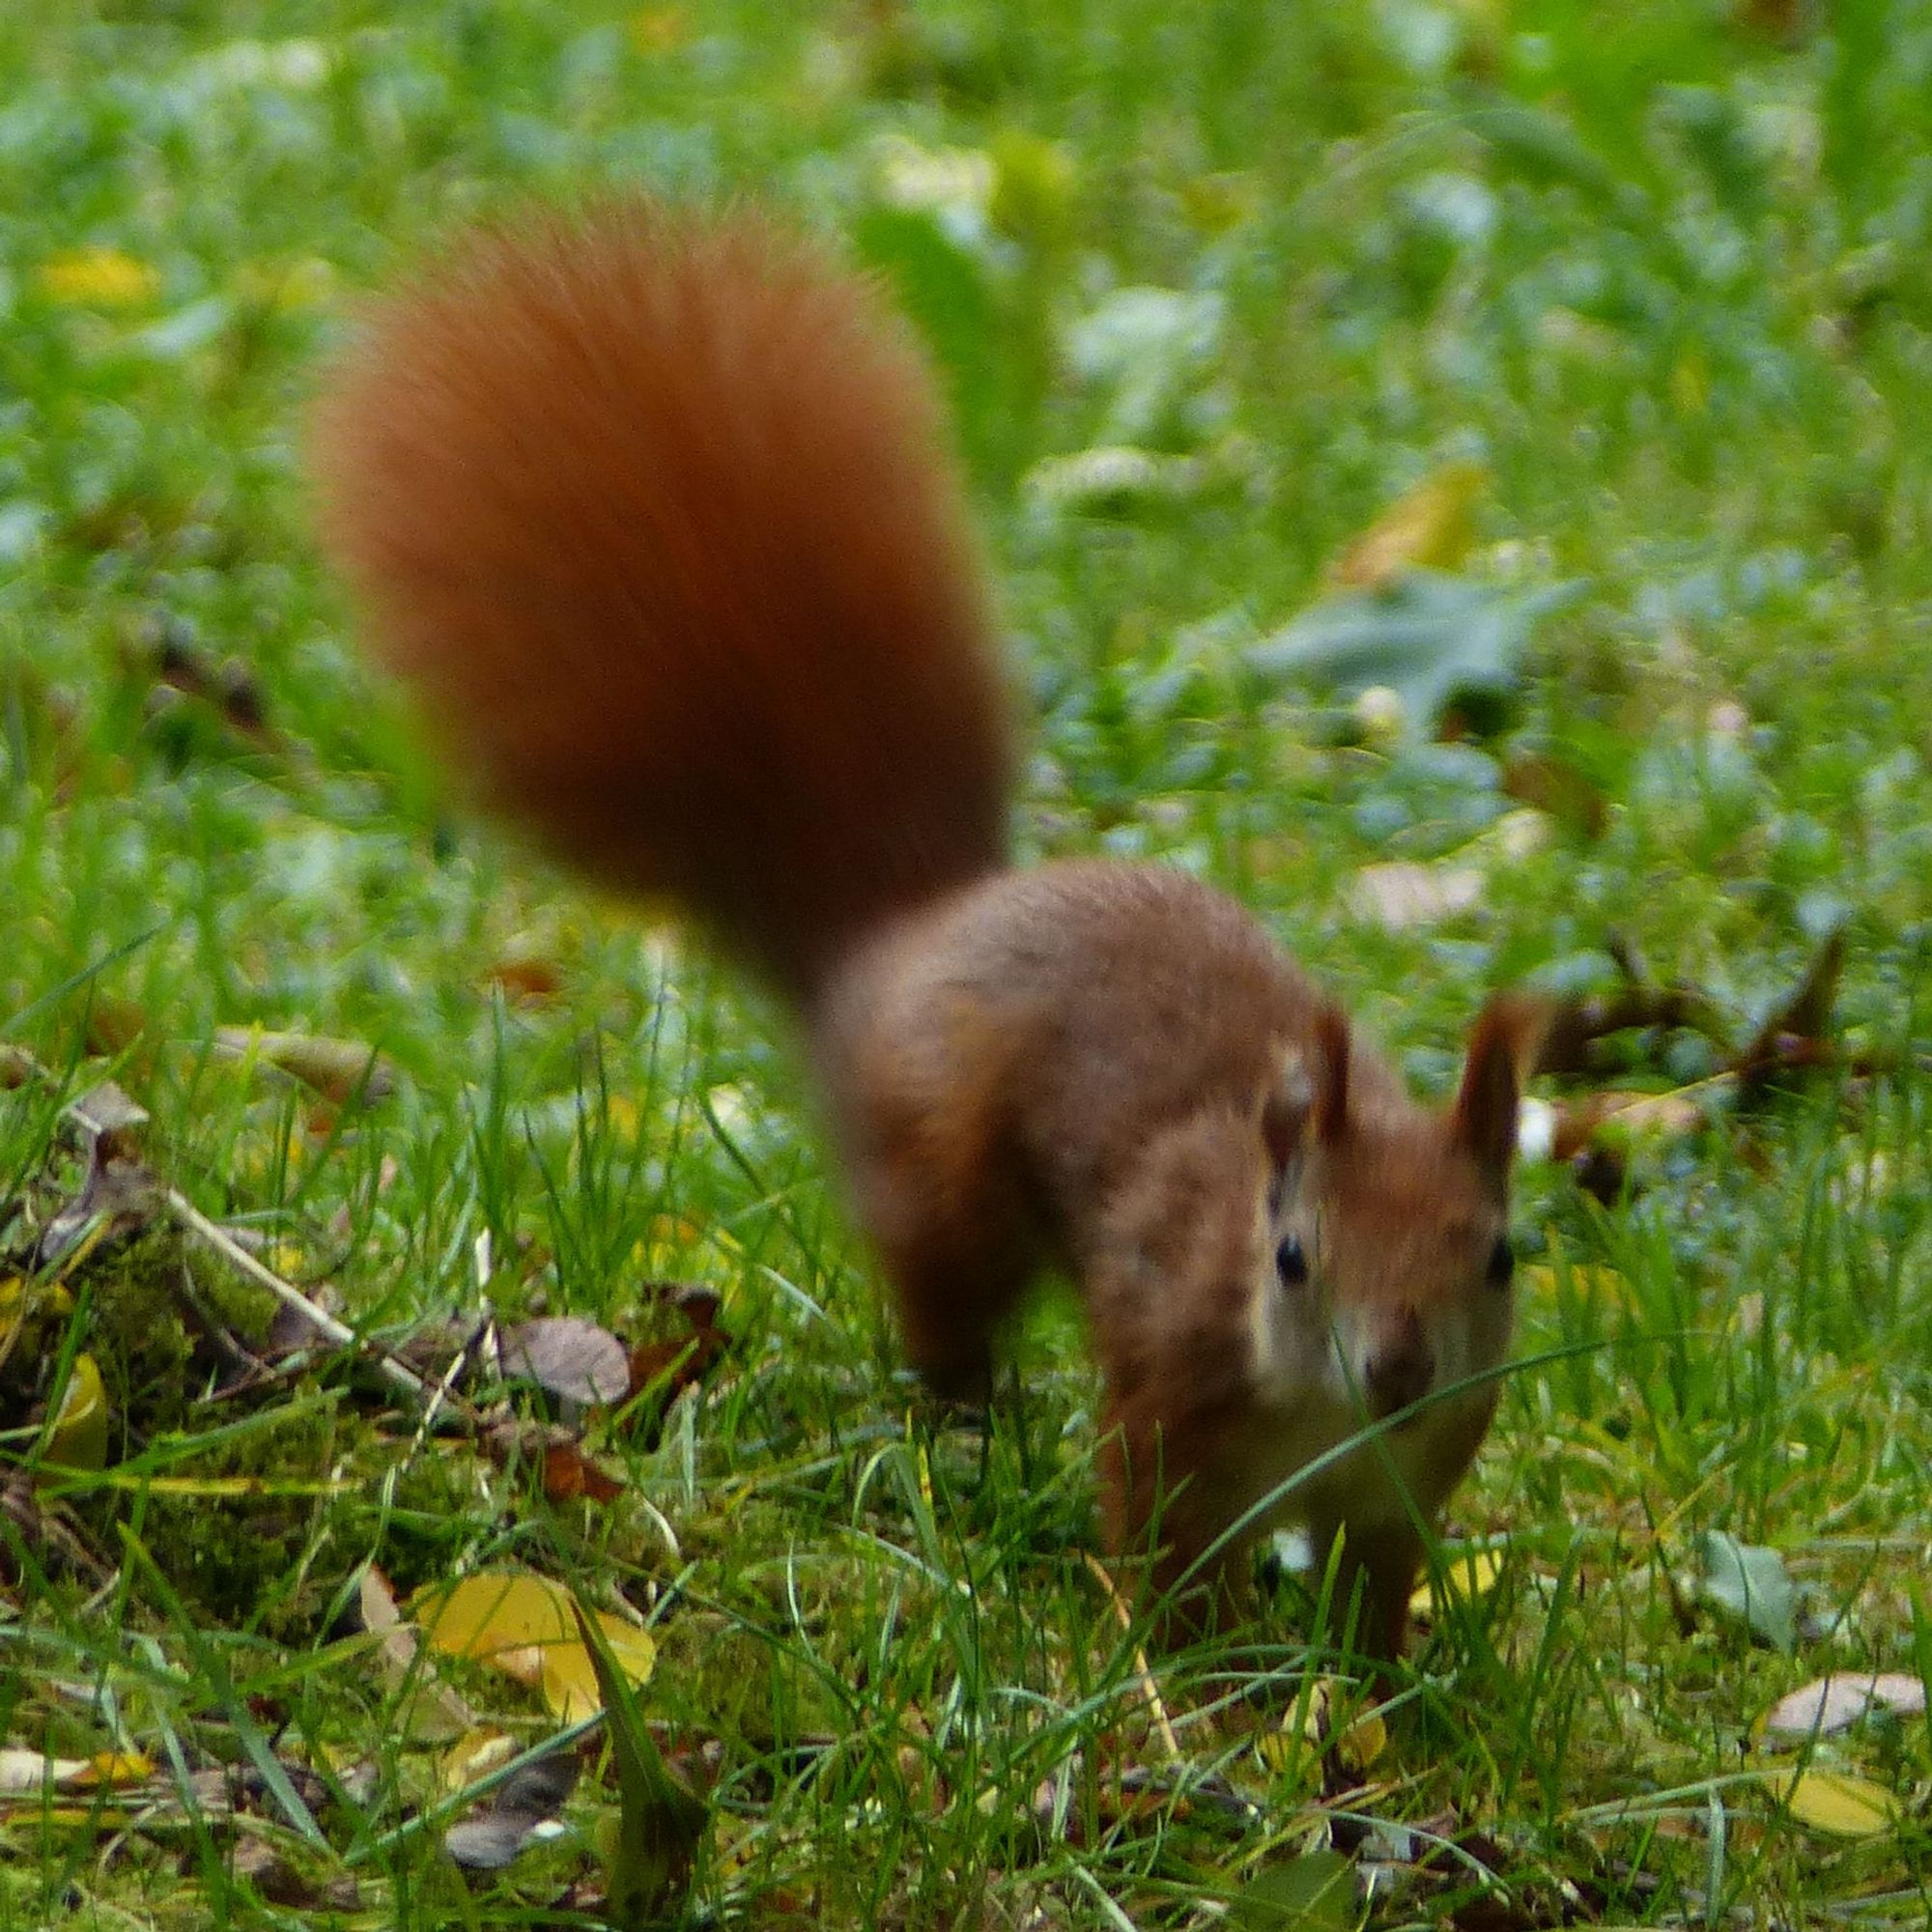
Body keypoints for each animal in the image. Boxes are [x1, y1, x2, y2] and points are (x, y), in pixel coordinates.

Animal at [325, 200, 1546, 1677]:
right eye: (1293, 1256)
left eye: (1500, 1253)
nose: (1400, 1369)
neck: (1323, 1417)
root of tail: (901, 940)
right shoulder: (1170, 1399)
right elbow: (1159, 1556)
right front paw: (1191, 1682)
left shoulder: (1401, 1488)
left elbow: (1374, 1596)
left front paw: (1380, 1694)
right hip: (942, 1178)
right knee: (941, 1311)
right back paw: (966, 1436)